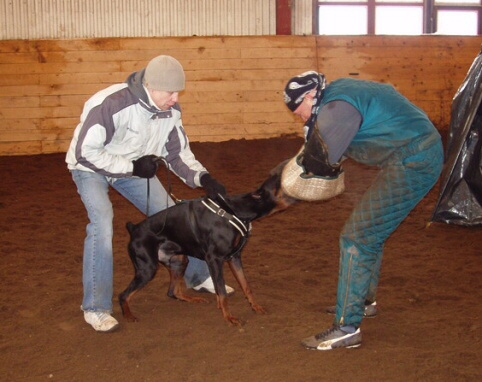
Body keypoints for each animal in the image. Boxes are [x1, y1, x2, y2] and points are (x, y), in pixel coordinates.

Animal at [118, 164, 296, 326]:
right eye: (279, 183)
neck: (236, 210)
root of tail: (134, 228)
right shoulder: (214, 259)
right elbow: (222, 291)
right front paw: (229, 317)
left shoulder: (234, 257)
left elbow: (245, 285)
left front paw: (255, 306)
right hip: (147, 268)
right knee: (123, 295)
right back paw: (129, 316)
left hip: (179, 260)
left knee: (172, 291)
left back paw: (195, 299)